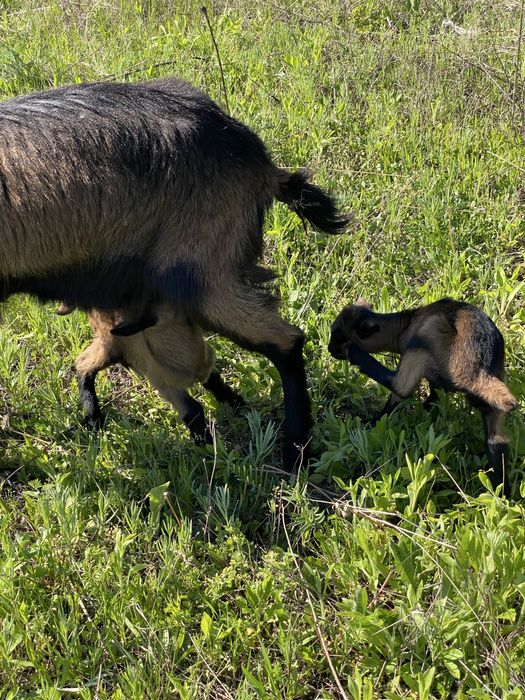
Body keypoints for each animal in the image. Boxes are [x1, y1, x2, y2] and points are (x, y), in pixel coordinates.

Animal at [328, 298, 517, 492]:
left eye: (338, 336)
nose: (330, 349)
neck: (404, 326)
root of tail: (478, 371)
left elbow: (399, 395)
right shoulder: (436, 383)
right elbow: (434, 396)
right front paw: (424, 409)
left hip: (424, 339)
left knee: (400, 386)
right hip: (493, 395)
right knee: (496, 442)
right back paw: (502, 492)